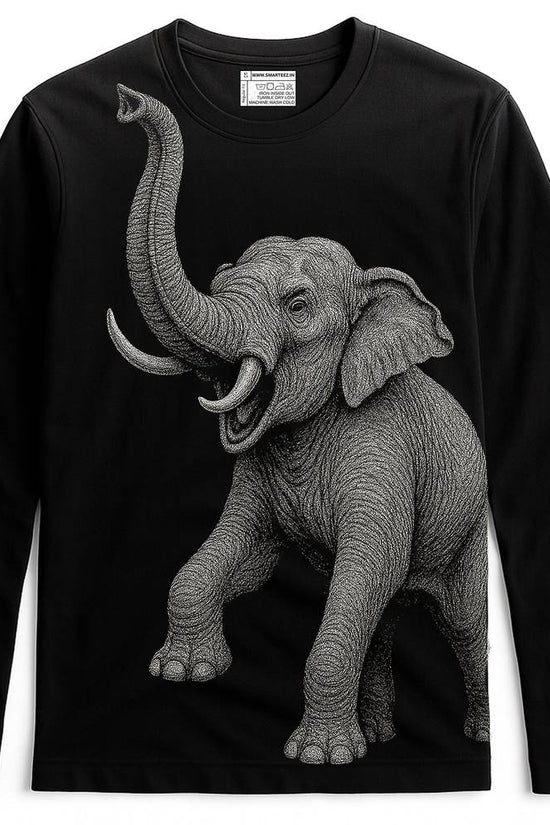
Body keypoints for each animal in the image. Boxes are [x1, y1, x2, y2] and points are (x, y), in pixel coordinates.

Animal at [107, 84, 490, 765]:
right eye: (221, 280)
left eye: (297, 304)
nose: (127, 102)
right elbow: (243, 555)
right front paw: (184, 673)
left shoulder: (383, 455)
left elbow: (368, 568)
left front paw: (319, 758)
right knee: (385, 618)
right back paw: (380, 737)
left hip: (467, 530)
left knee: (466, 625)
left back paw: (477, 737)